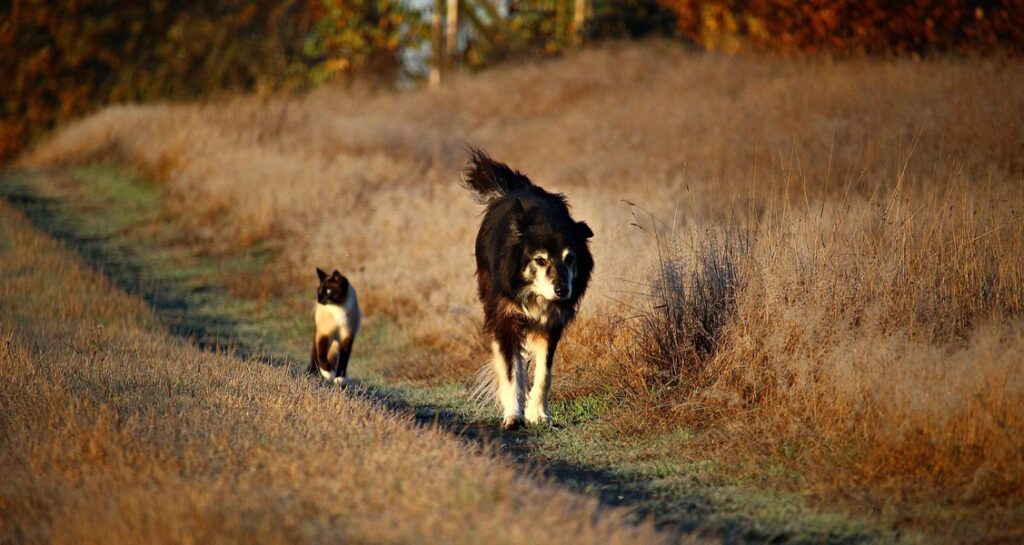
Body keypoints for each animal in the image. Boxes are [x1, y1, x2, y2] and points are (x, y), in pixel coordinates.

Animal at [462, 148, 598, 430]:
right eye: (540, 260)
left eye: (570, 258)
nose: (562, 291)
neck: (534, 294)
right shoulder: (505, 316)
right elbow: (511, 370)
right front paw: (514, 416)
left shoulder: (551, 324)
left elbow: (544, 372)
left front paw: (539, 415)